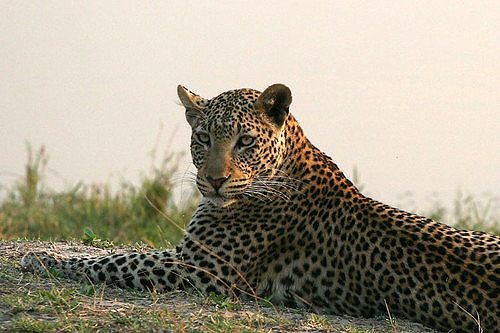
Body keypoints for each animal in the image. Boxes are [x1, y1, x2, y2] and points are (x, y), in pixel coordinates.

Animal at [21, 83, 498, 332]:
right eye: (203, 138)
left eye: (244, 141)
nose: (215, 180)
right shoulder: (190, 259)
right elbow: (119, 254)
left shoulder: (201, 268)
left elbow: (114, 260)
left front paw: (41, 257)